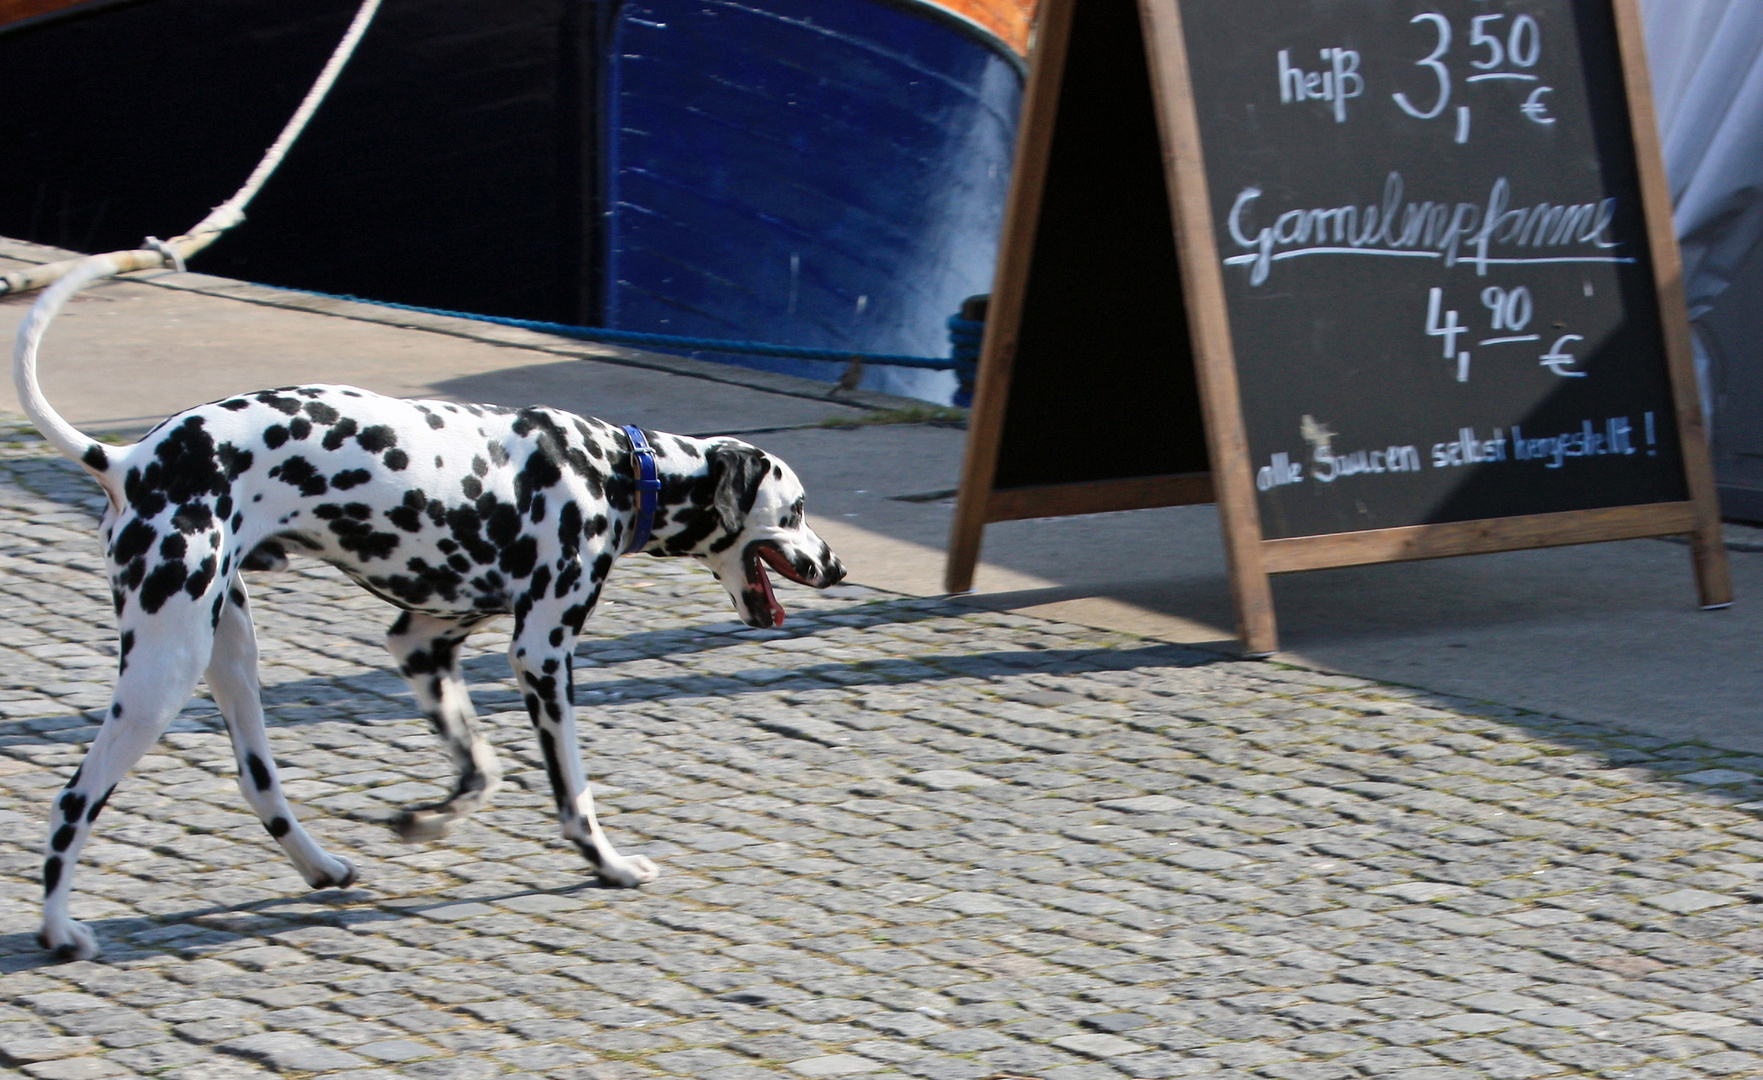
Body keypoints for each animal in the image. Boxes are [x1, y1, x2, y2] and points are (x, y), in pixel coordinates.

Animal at [17, 297, 846, 958]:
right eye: (799, 509)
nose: (837, 566)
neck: (616, 471)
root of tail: (128, 458)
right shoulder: (541, 655)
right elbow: (572, 791)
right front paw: (606, 864)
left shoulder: (422, 644)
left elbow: (481, 767)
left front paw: (429, 822)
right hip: (164, 671)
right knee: (72, 803)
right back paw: (59, 931)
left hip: (230, 654)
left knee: (259, 782)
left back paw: (321, 868)